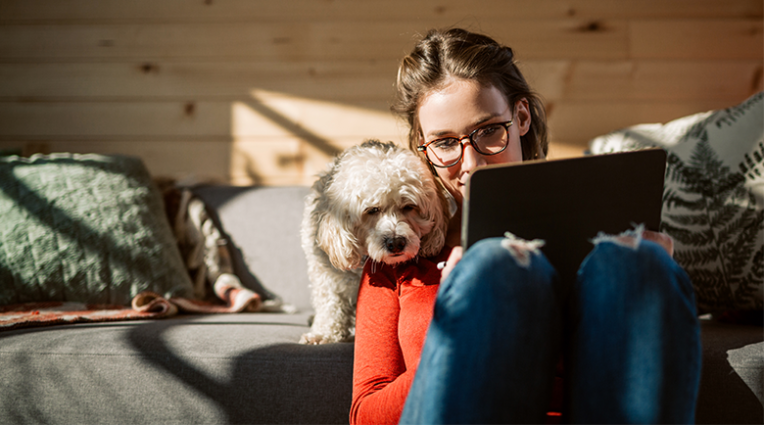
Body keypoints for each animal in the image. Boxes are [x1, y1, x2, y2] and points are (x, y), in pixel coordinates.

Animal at [298, 141, 448, 342]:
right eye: (372, 210)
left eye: (409, 206)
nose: (396, 243)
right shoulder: (325, 272)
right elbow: (330, 302)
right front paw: (324, 333)